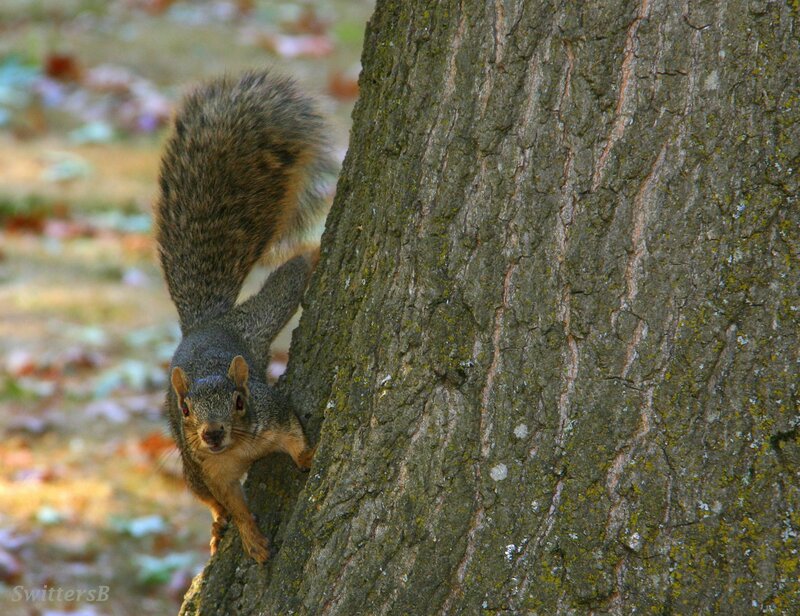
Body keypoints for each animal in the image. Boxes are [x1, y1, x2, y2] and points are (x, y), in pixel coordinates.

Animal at [154, 70, 332, 563]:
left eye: (238, 401)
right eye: (186, 408)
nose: (212, 434)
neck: (237, 449)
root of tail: (203, 325)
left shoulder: (273, 413)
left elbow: (296, 437)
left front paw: (308, 460)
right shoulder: (211, 470)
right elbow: (232, 502)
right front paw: (251, 539)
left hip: (260, 317)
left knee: (286, 279)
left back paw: (312, 253)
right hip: (189, 467)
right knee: (209, 501)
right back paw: (218, 529)